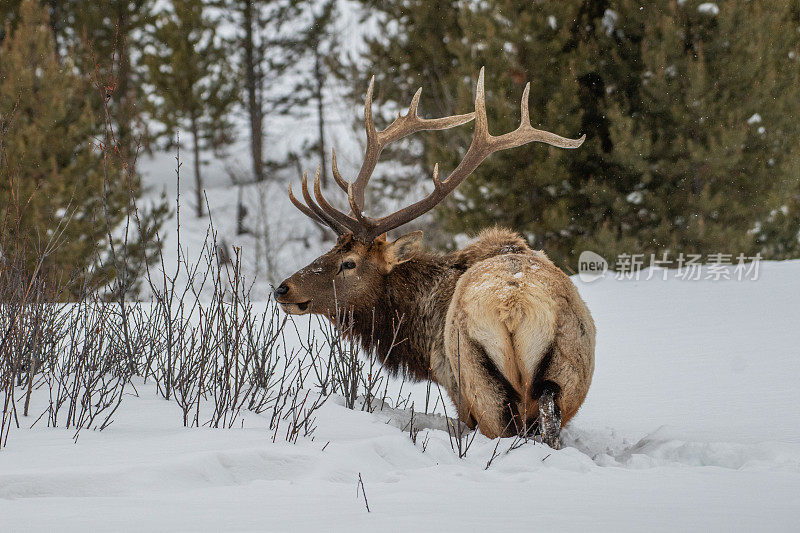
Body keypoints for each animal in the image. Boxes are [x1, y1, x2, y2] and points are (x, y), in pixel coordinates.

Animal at [276, 68, 592, 446]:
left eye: (349, 262)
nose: (284, 288)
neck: (419, 334)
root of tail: (514, 305)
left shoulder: (455, 388)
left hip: (479, 382)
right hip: (564, 373)